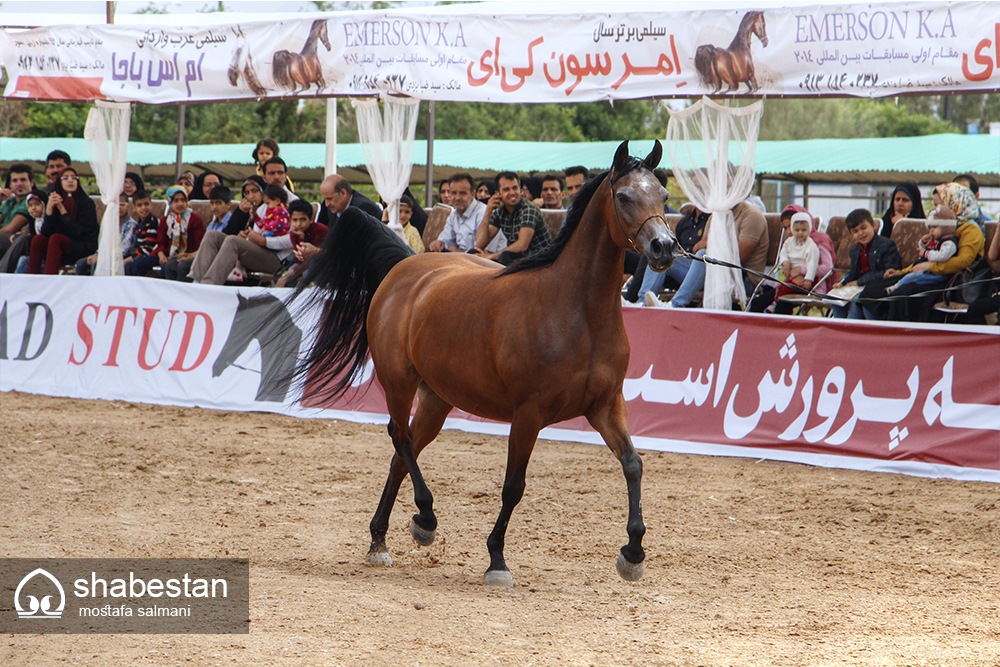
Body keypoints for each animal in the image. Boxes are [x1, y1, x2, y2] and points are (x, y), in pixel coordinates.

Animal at [292, 140, 676, 584]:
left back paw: (379, 540)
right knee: (400, 437)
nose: (664, 248)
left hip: (437, 398)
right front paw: (497, 560)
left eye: (663, 195)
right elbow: (513, 486)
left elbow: (633, 465)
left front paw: (633, 553)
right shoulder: (529, 413)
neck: (576, 311)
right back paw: (424, 520)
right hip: (399, 383)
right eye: (624, 196)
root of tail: (405, 266)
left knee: (404, 451)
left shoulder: (606, 406)